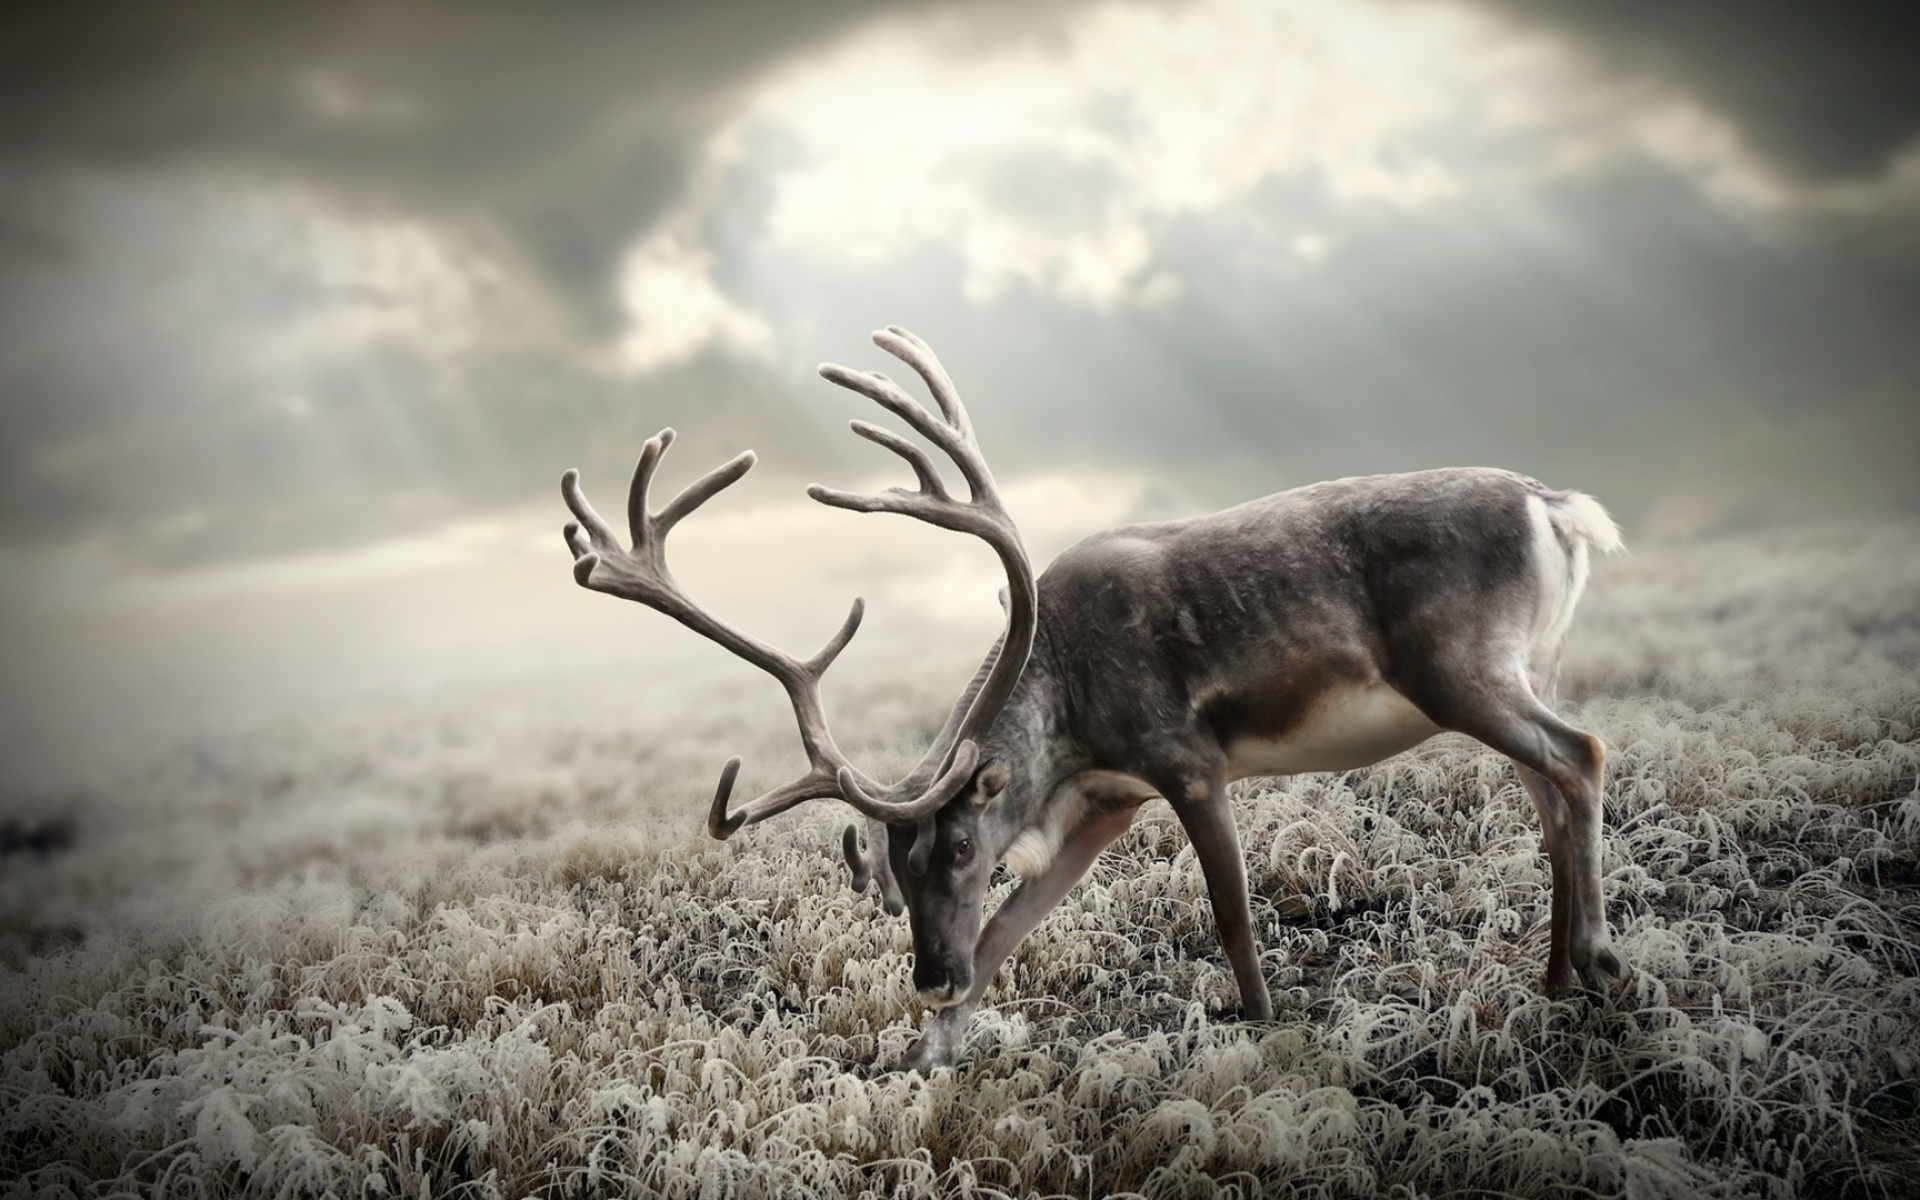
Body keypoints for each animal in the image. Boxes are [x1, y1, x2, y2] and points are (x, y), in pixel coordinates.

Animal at [562, 326, 1625, 1071]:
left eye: (957, 846)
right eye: (895, 866)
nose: (927, 976)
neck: (1069, 719)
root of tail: (1561, 509)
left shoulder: (1185, 761)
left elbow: (1232, 918)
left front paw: (1266, 1029)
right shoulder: (1108, 801)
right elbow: (1006, 931)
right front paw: (927, 1053)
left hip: (1461, 670)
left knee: (1581, 754)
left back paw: (1602, 959)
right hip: (1521, 669)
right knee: (1549, 792)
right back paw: (1554, 978)